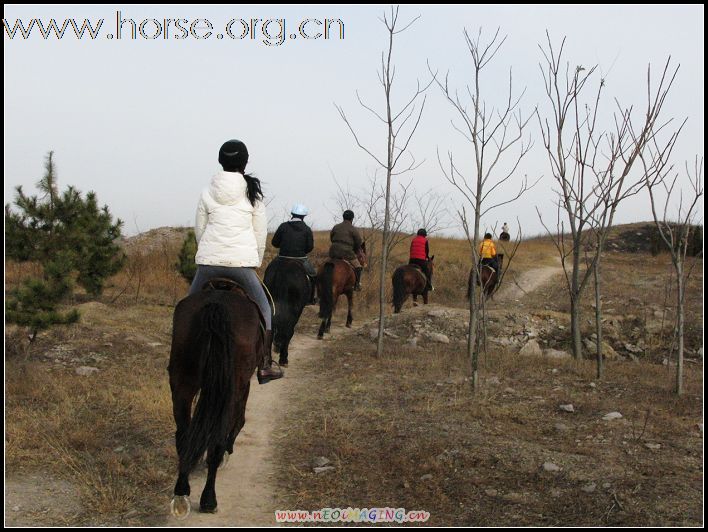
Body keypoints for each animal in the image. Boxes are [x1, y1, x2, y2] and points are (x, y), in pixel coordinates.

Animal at [169, 280, 262, 516]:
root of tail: (216, 305)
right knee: (217, 442)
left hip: (182, 384)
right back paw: (209, 499)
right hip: (231, 391)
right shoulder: (243, 387)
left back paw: (181, 492)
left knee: (183, 436)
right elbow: (239, 421)